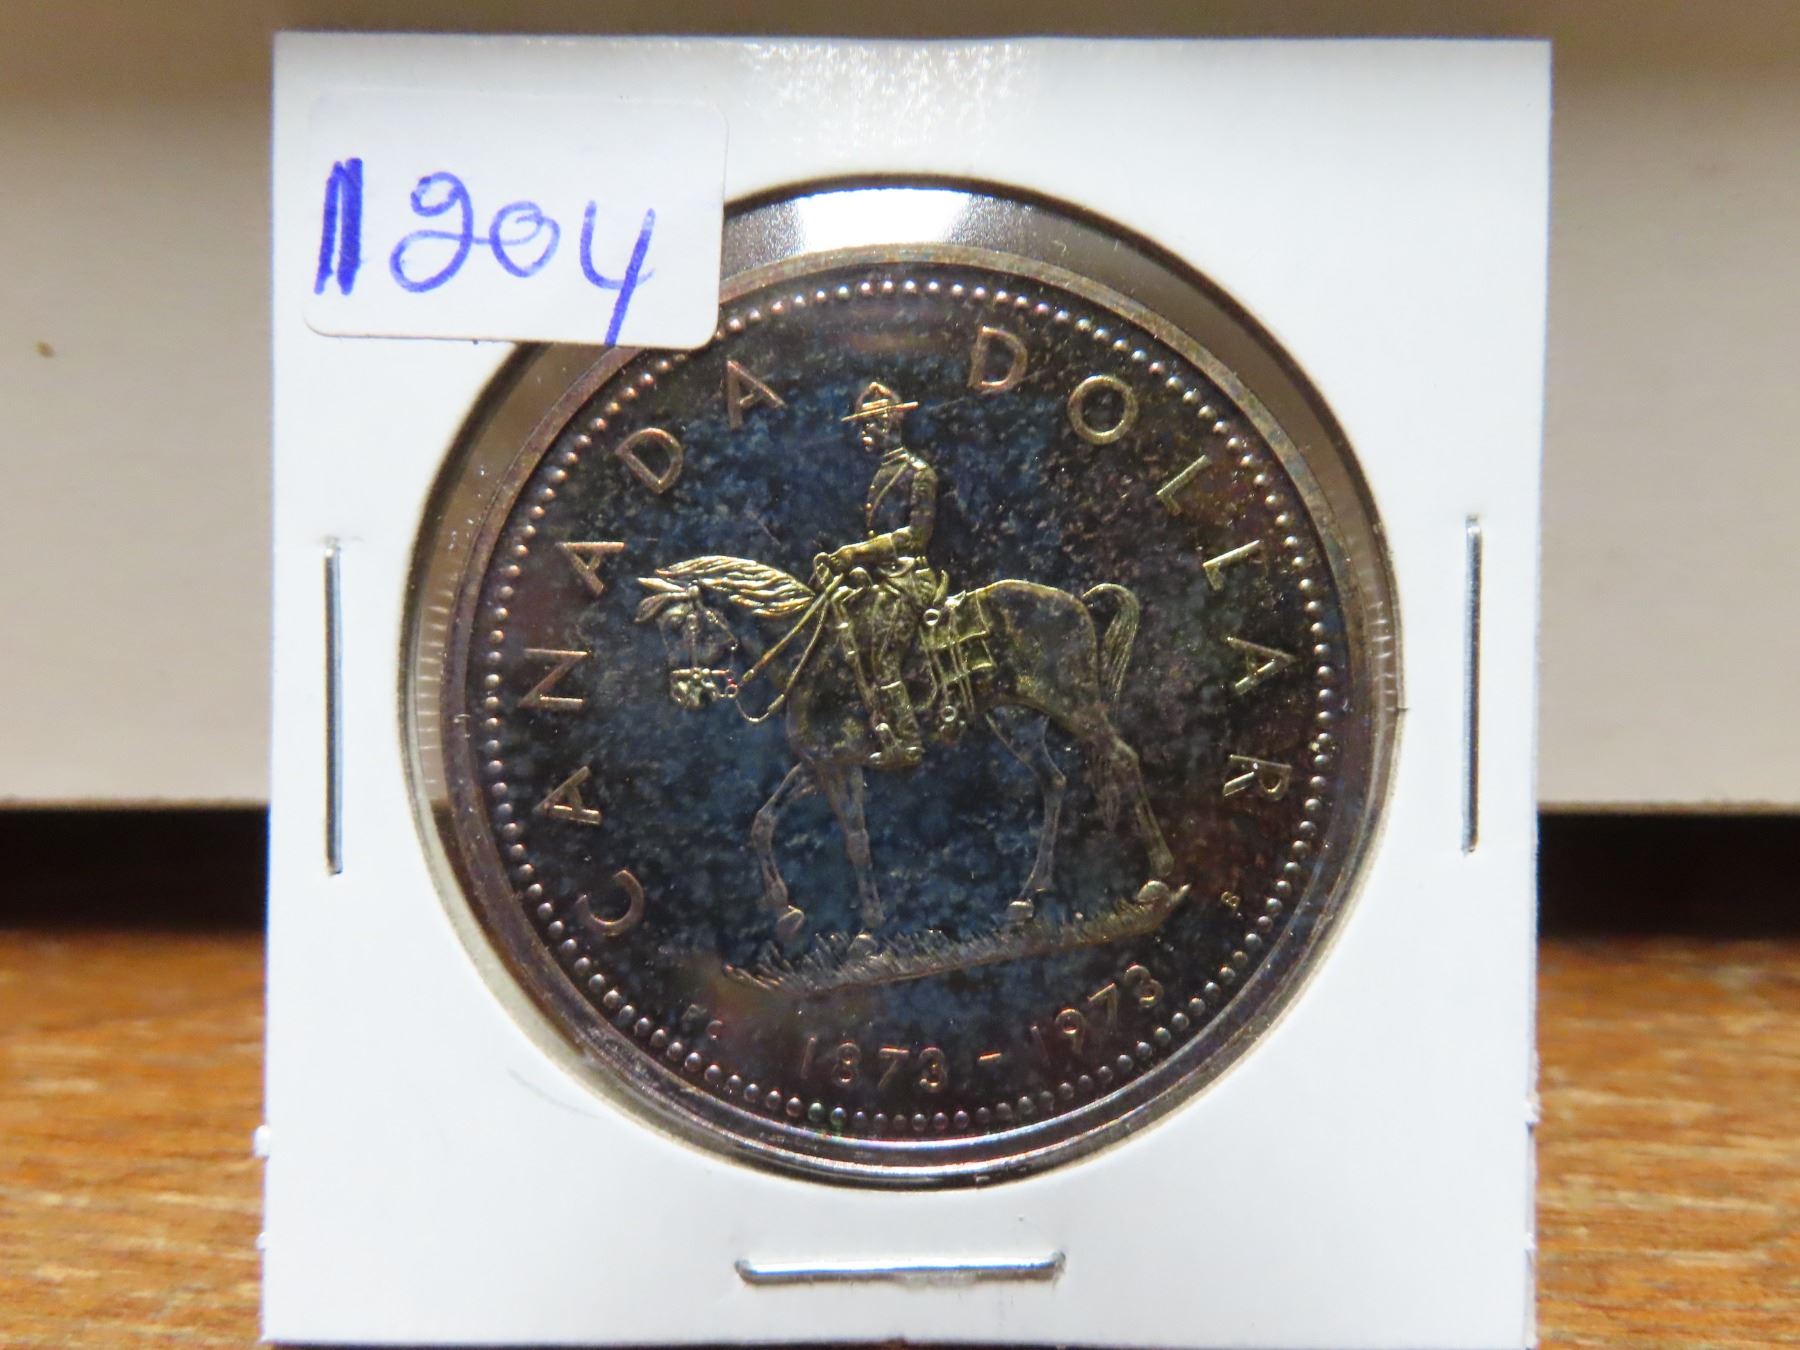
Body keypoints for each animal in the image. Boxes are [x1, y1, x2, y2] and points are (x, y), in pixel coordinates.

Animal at [635, 555, 1173, 958]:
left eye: (682, 625)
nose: (683, 694)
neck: (812, 657)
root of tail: (1076, 602)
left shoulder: (840, 768)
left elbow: (855, 841)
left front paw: (868, 932)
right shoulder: (820, 764)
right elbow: (763, 822)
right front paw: (786, 912)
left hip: (1074, 704)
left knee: (1122, 760)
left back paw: (1158, 876)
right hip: (1018, 722)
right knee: (1054, 783)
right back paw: (1026, 896)